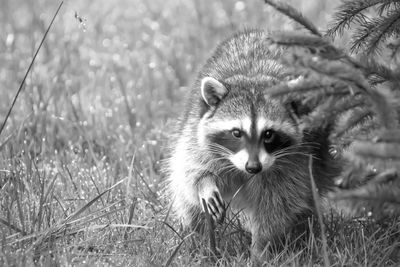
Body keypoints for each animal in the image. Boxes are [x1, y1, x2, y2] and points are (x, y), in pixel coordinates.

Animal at [164, 29, 342, 260]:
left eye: (268, 134)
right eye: (236, 133)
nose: (254, 167)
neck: (253, 79)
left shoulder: (294, 162)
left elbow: (278, 206)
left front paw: (260, 250)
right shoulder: (196, 137)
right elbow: (192, 172)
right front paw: (205, 185)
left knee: (306, 197)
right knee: (188, 201)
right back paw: (197, 242)